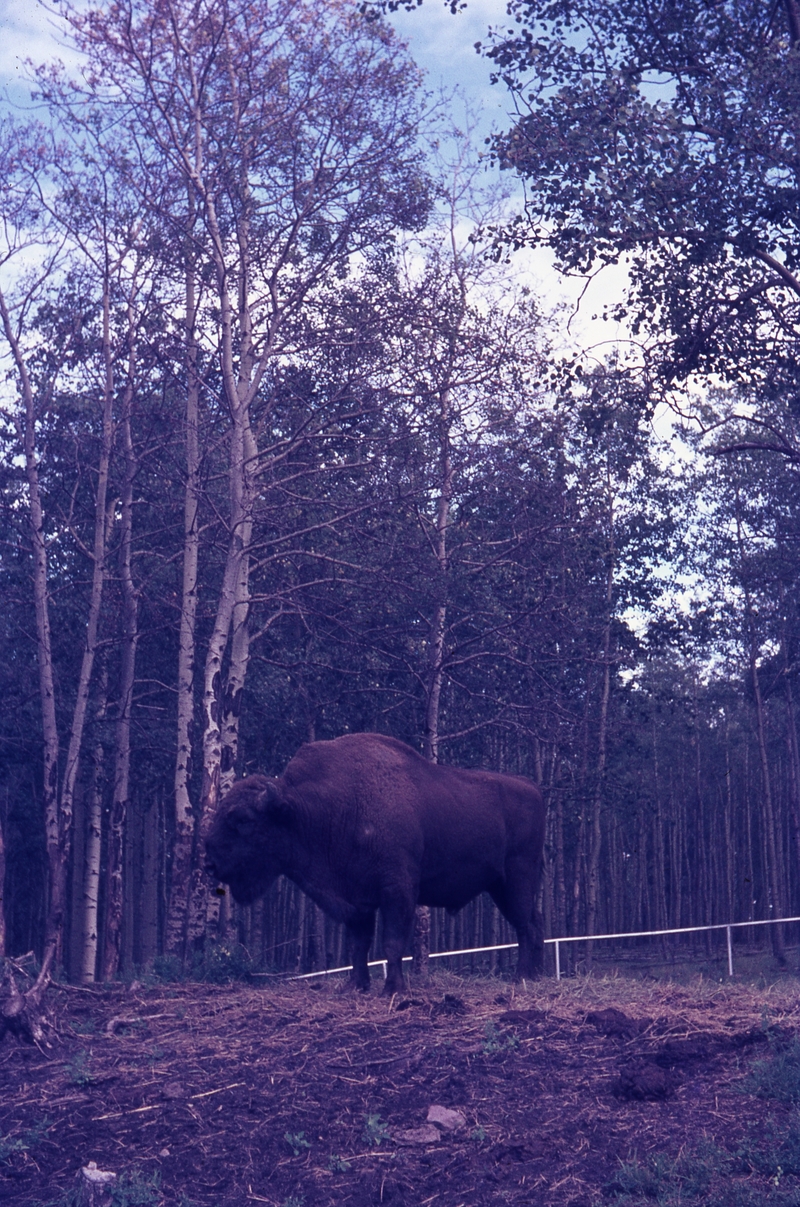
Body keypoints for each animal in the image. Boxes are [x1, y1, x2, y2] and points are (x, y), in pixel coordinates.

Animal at [203, 729, 547, 994]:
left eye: (243, 820)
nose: (209, 863)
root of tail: (534, 789)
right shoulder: (357, 899)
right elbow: (359, 945)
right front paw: (356, 986)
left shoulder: (397, 891)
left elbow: (391, 942)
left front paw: (393, 989)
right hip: (503, 887)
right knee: (535, 923)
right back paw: (533, 977)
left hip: (516, 880)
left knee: (526, 926)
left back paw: (520, 979)